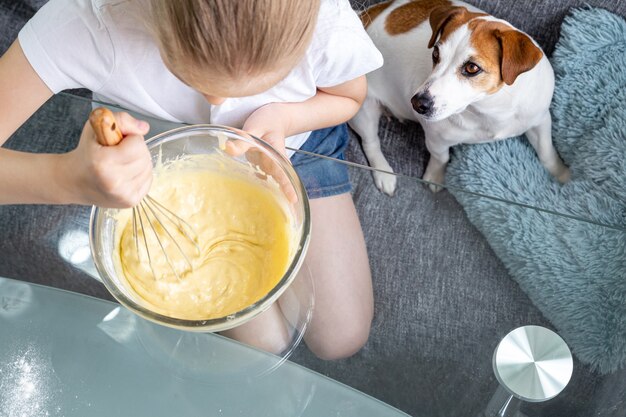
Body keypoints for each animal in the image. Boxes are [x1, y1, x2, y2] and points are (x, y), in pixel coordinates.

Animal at [348, 0, 568, 194]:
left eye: (472, 68)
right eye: (436, 54)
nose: (417, 103)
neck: (492, 109)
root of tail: (365, 15)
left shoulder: (540, 120)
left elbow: (546, 152)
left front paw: (563, 175)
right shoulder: (436, 138)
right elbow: (441, 158)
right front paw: (435, 177)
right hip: (363, 111)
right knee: (370, 142)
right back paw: (383, 173)